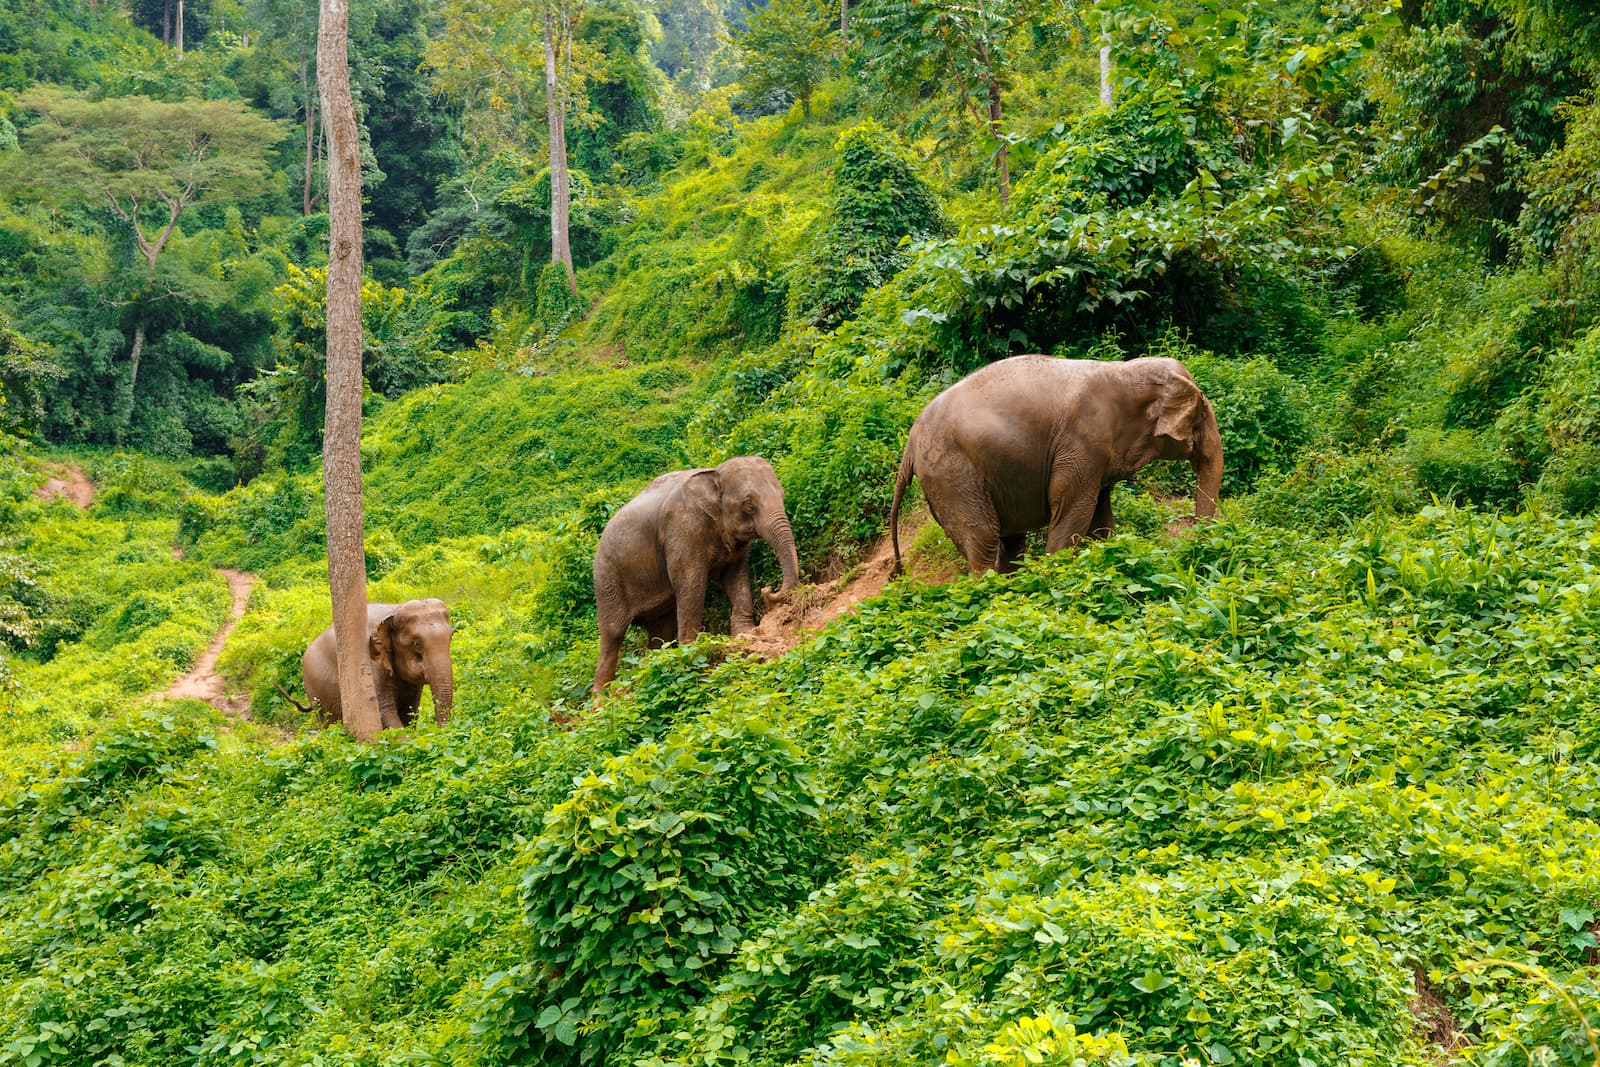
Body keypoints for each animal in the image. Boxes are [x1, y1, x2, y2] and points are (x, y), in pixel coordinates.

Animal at [300, 599, 455, 729]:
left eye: (451, 636)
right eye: (416, 643)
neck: (394, 610)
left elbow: (410, 711)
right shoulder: (370, 661)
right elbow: (383, 712)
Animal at [592, 456, 800, 691]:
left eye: (782, 495)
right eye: (749, 504)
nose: (768, 589)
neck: (714, 474)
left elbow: (736, 576)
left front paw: (744, 634)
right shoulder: (682, 531)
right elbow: (691, 584)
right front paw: (691, 651)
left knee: (660, 629)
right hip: (607, 579)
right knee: (613, 633)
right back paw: (601, 696)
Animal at [888, 354, 1223, 575]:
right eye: (1202, 413)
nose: (1192, 547)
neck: (1125, 370)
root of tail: (910, 446)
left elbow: (1100, 514)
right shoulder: (1081, 442)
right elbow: (1072, 507)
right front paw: (1056, 569)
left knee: (1008, 540)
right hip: (952, 473)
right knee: (983, 538)